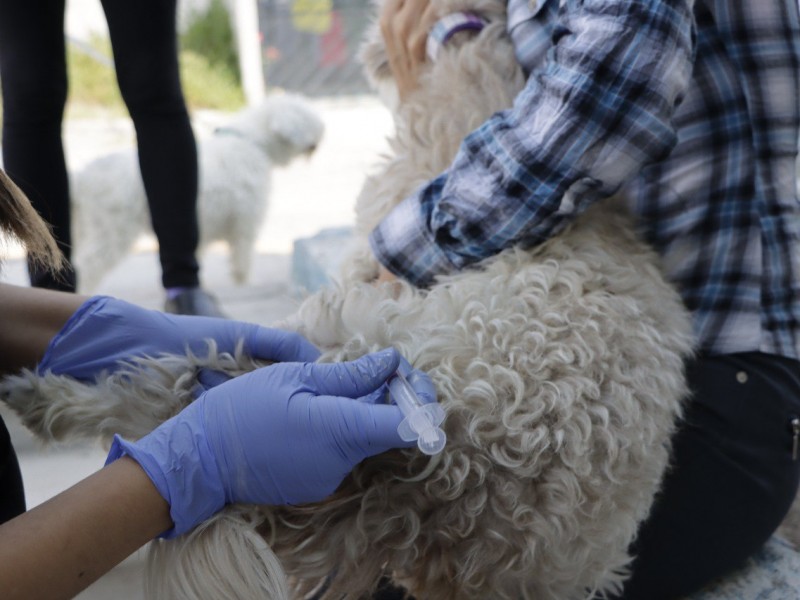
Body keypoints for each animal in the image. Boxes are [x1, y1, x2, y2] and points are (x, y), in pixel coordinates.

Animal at [70, 91, 324, 292]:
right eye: (307, 116)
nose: (322, 130)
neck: (250, 143)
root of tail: (84, 177)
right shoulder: (245, 224)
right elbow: (242, 260)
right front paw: (246, 285)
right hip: (112, 233)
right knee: (87, 265)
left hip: (83, 228)